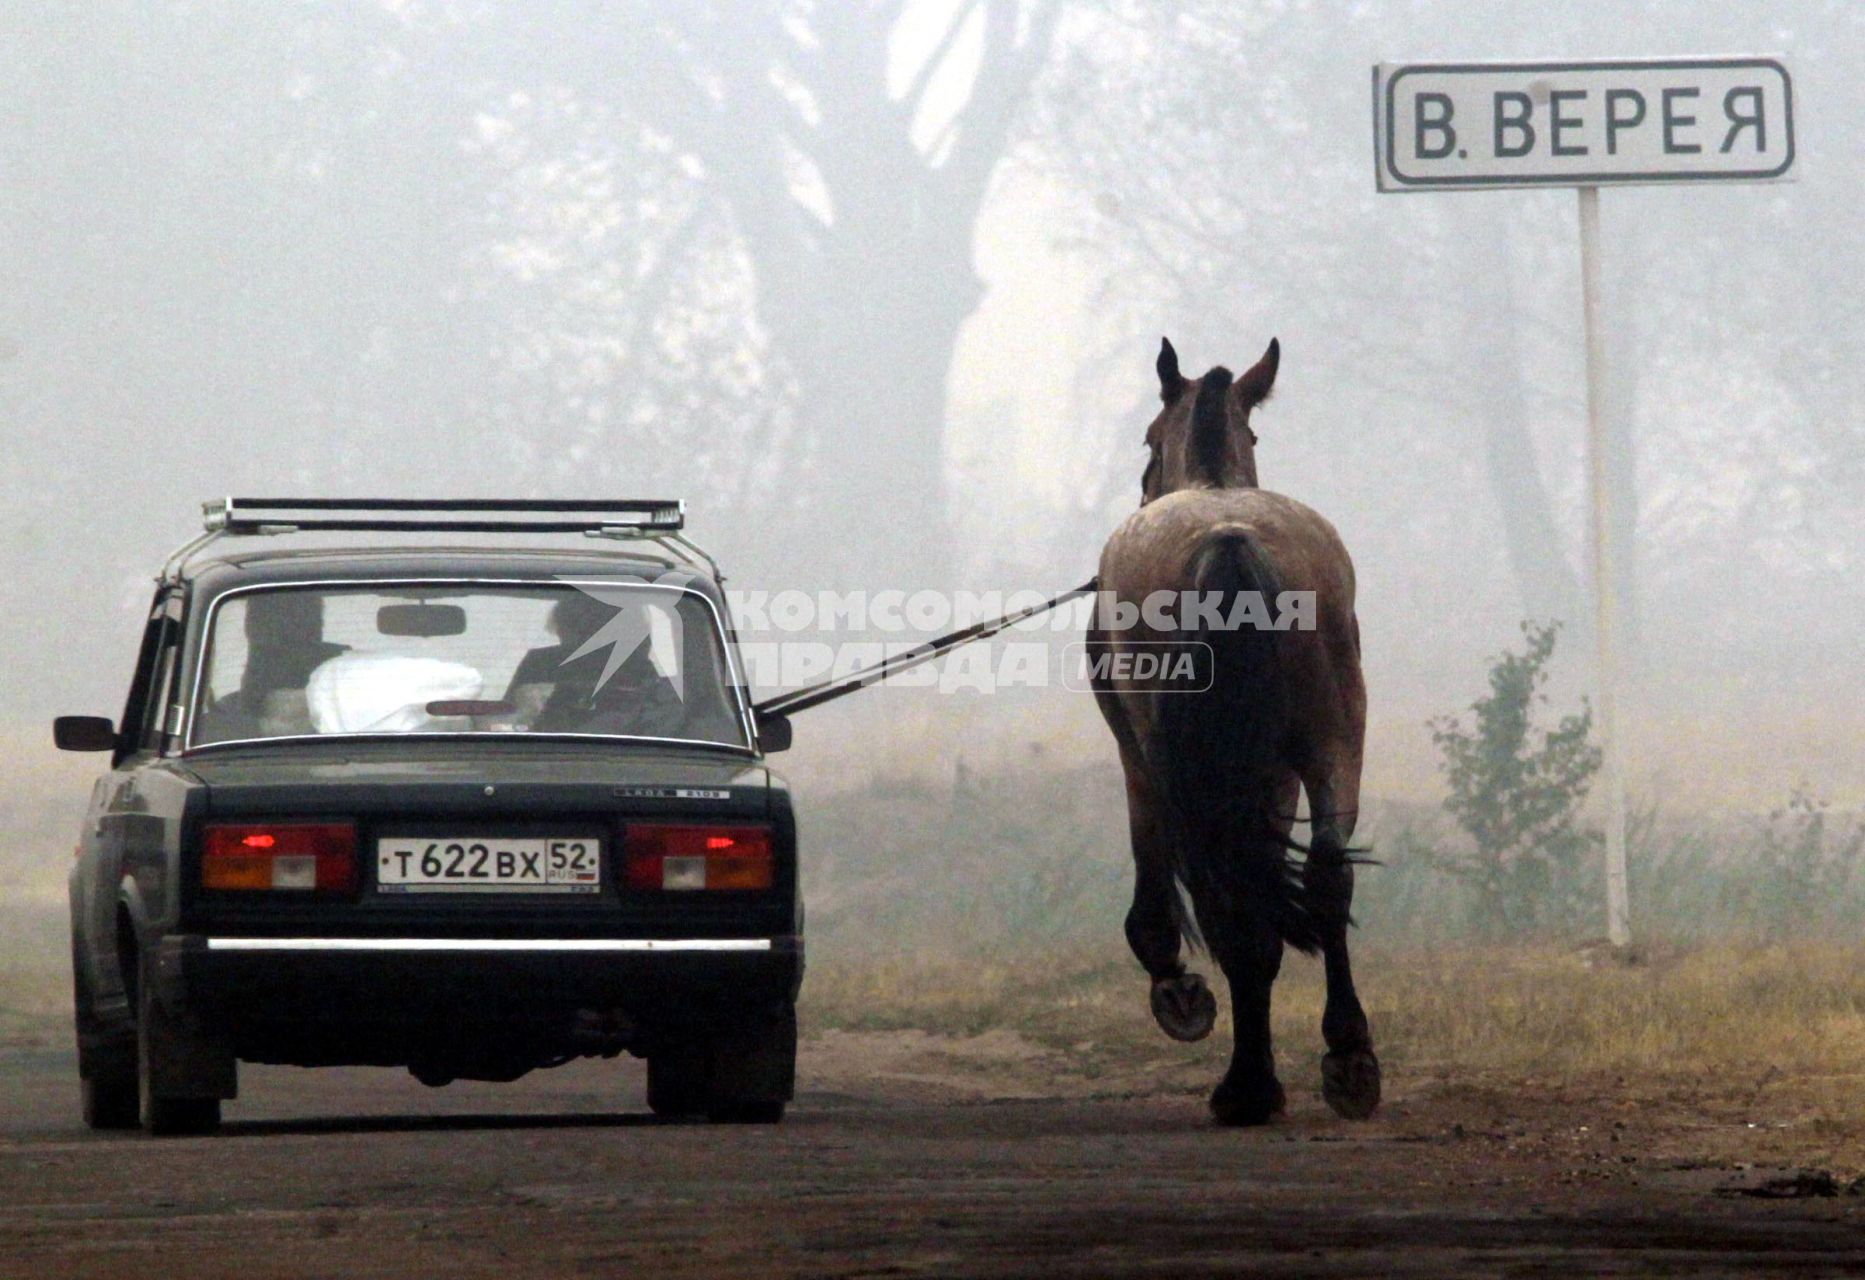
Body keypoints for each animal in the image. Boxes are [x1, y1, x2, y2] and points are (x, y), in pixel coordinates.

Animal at [1089, 335, 1380, 1126]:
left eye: (1147, 440)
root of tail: (1229, 535)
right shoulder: (1272, 772)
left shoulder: (1139, 757)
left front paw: (1178, 989)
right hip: (1335, 735)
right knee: (1327, 873)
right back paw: (1347, 1056)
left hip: (1187, 765)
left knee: (1228, 895)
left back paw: (1245, 1083)